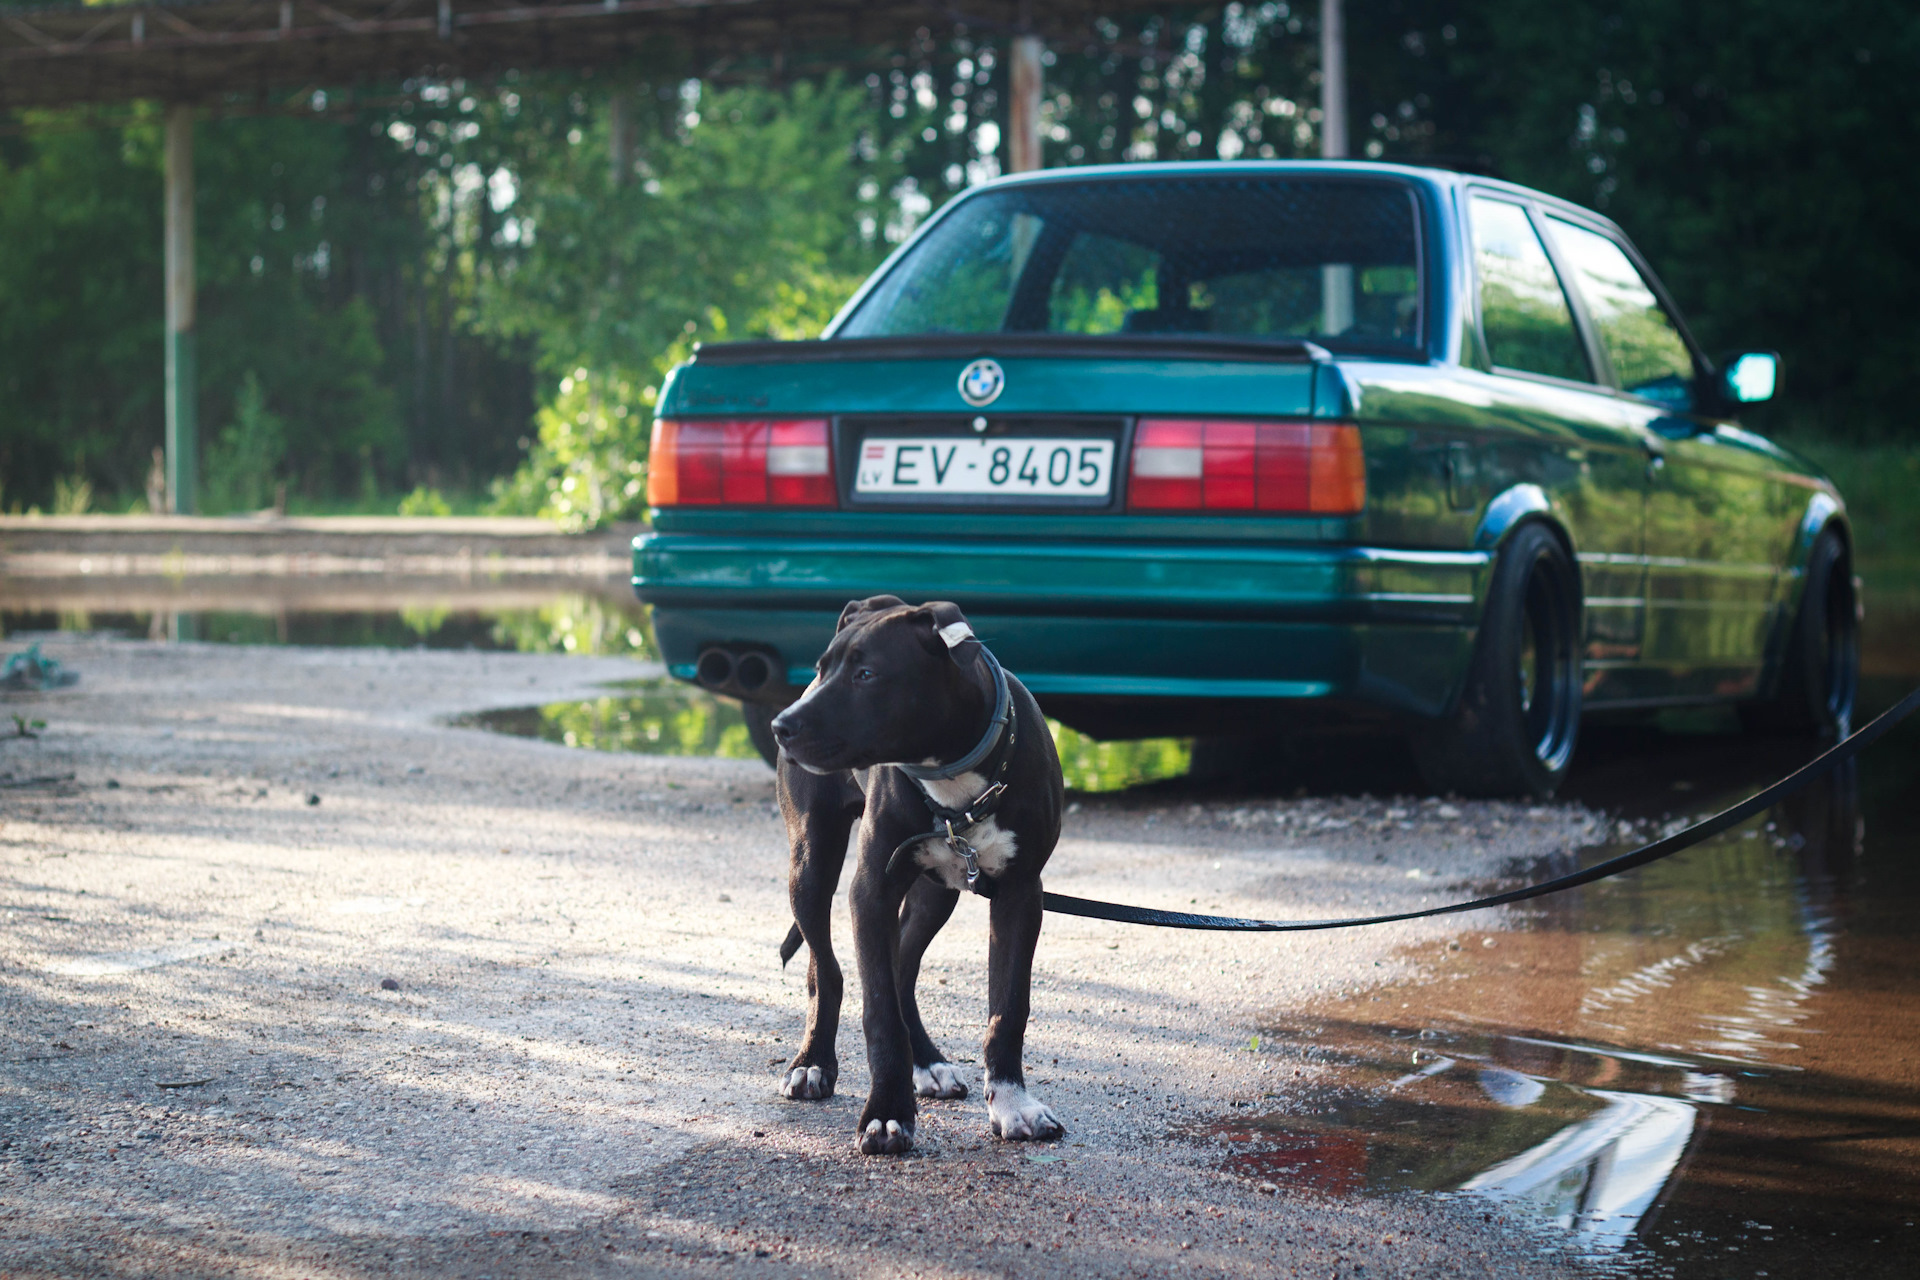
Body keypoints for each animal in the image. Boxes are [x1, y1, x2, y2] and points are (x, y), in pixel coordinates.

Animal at [764, 594, 1067, 1159]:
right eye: (821, 669)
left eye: (866, 674)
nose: (780, 725)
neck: (952, 777)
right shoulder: (870, 891)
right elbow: (880, 1011)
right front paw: (886, 1114)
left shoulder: (1021, 894)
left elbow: (1008, 1008)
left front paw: (1013, 1104)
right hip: (811, 864)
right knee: (827, 971)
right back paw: (812, 1062)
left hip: (935, 891)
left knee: (902, 965)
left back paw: (927, 1063)